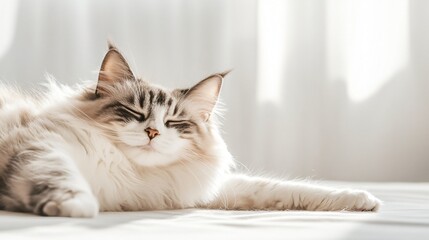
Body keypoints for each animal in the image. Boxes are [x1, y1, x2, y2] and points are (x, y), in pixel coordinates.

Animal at [0, 43, 382, 218]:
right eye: (135, 113)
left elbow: (282, 189)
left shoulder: (201, 190)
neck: (135, 174)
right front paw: (76, 207)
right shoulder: (43, 146)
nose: (153, 133)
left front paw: (362, 200)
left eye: (175, 124)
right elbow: (60, 176)